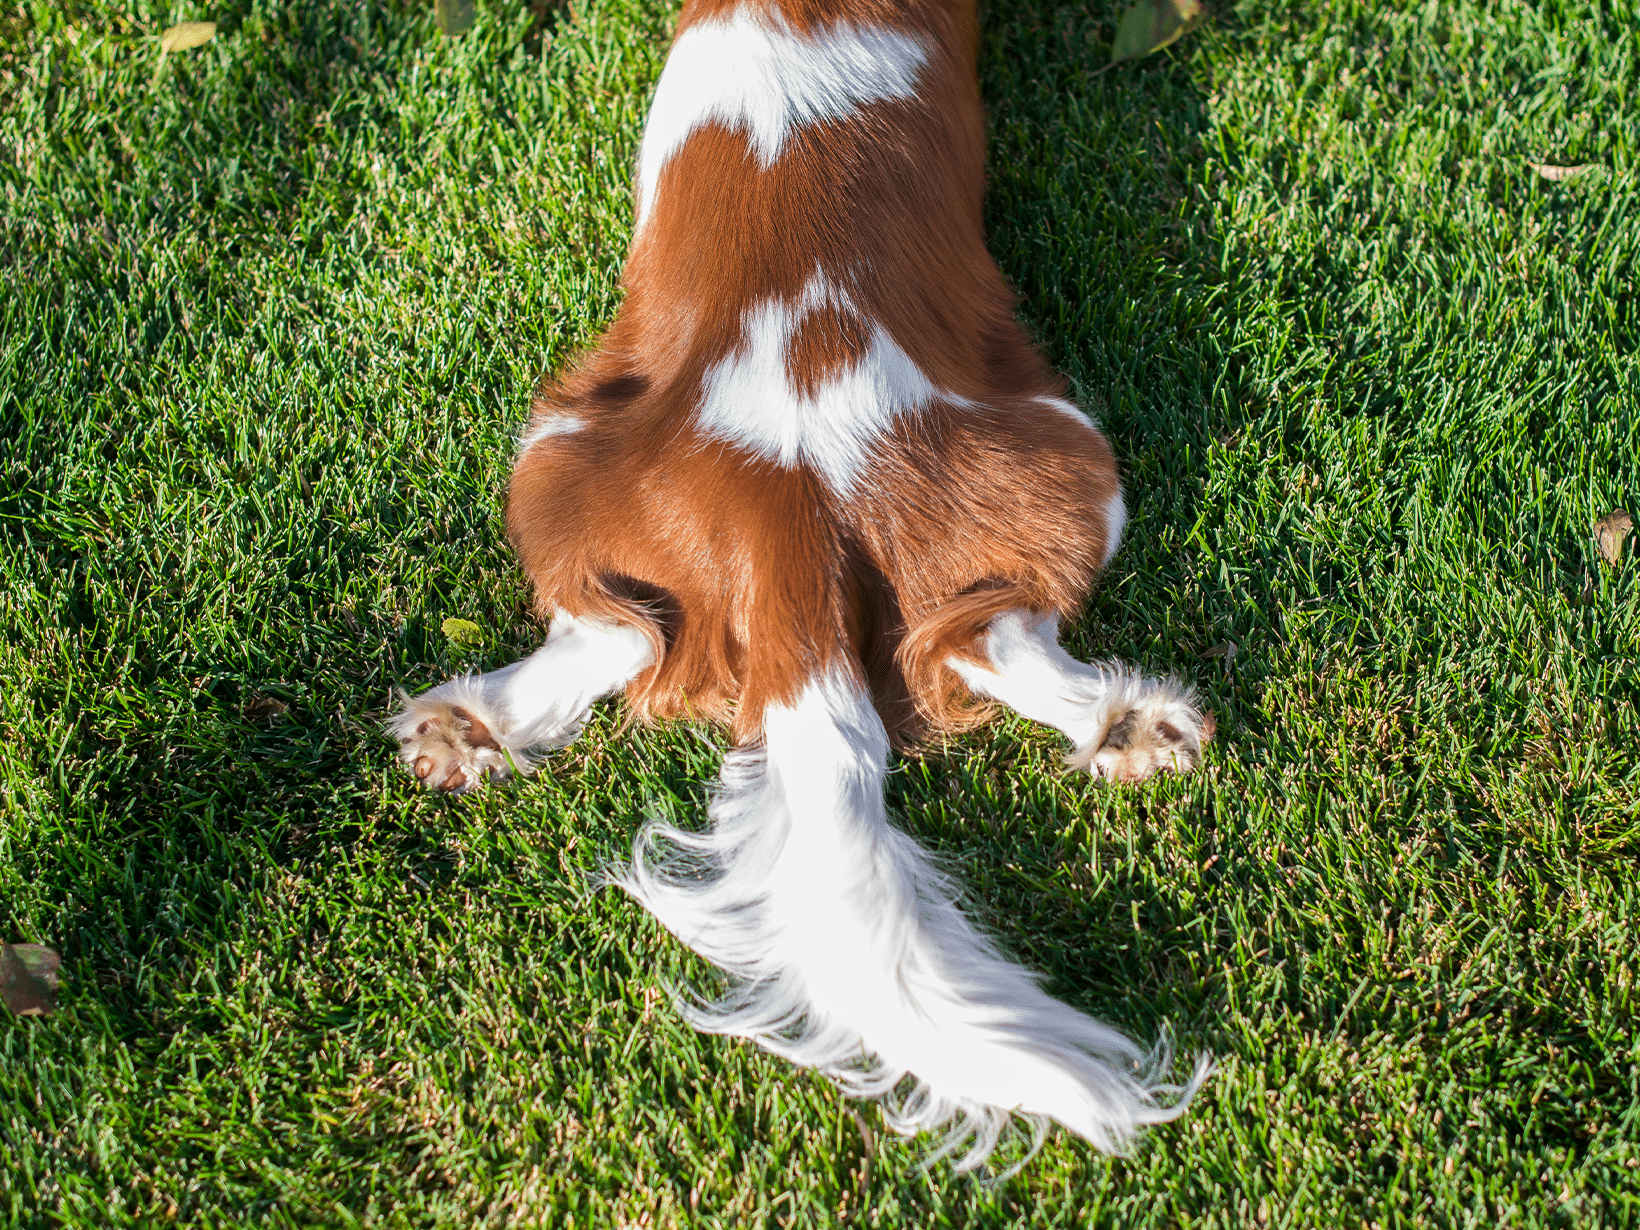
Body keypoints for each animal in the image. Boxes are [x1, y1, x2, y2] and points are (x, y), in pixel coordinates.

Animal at [393, 0, 1220, 1174]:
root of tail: (786, 498)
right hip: (1072, 461)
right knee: (967, 637)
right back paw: (1128, 729)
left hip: (552, 457)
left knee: (630, 633)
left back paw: (468, 728)